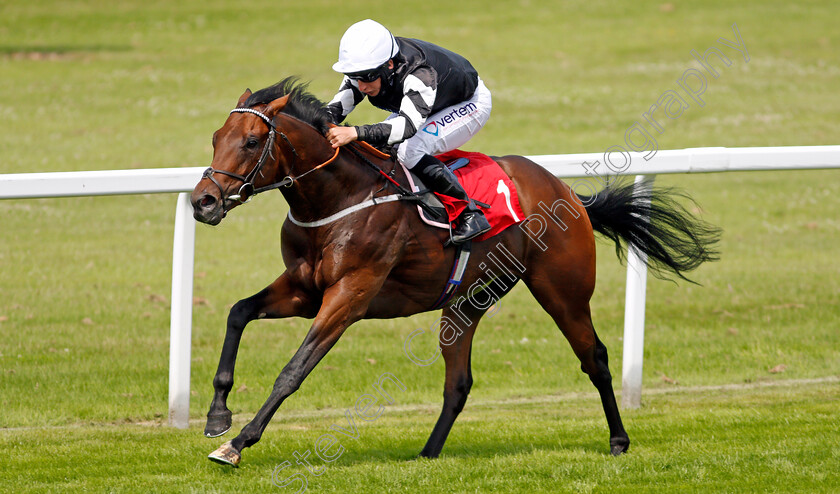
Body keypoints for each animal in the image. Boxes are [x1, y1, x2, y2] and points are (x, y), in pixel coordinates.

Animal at [192, 77, 720, 466]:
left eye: (252, 141)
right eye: (215, 139)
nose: (203, 202)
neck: (338, 198)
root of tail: (568, 192)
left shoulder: (349, 295)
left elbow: (293, 371)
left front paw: (237, 443)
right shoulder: (304, 290)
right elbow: (238, 313)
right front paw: (218, 416)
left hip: (562, 292)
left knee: (595, 358)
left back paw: (618, 440)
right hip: (467, 301)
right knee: (458, 382)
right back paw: (428, 453)